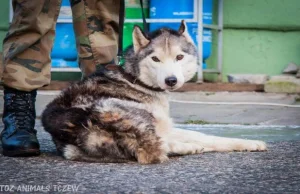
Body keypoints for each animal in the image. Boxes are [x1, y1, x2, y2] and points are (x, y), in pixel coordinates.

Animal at [41, 21, 266, 164]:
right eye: (155, 59)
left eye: (179, 57)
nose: (171, 80)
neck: (136, 78)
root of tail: (85, 121)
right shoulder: (162, 126)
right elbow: (205, 138)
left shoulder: (166, 126)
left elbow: (206, 136)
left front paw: (249, 143)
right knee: (159, 148)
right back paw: (188, 147)